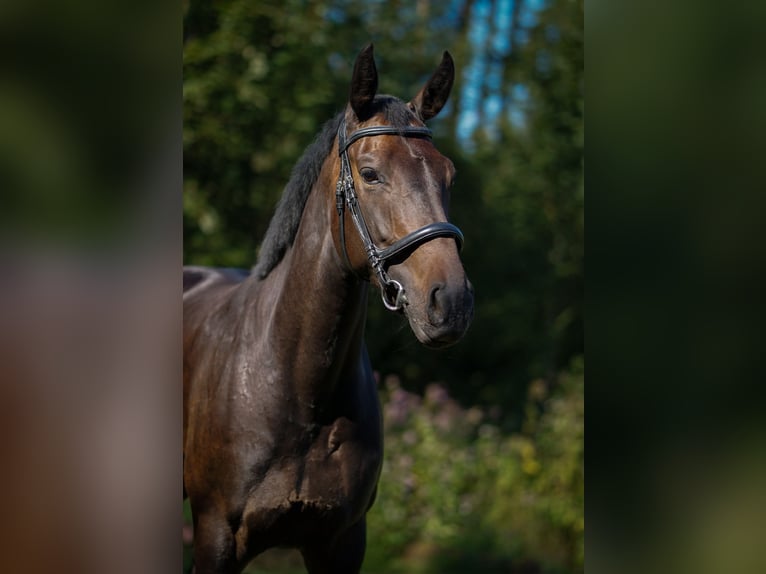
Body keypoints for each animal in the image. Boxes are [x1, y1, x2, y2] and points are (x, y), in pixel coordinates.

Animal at [184, 46, 474, 574]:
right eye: (371, 173)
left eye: (449, 175)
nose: (452, 302)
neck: (300, 394)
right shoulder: (216, 537)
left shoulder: (341, 541)